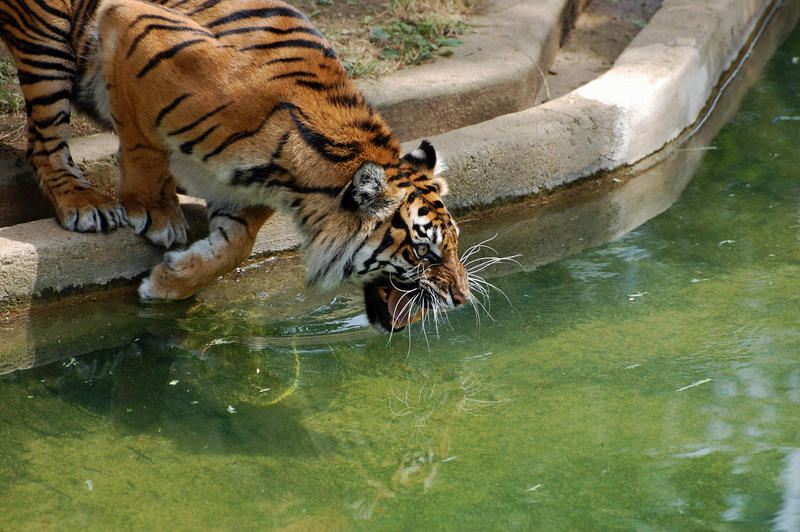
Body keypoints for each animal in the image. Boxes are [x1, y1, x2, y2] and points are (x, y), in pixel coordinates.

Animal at [0, 0, 472, 332]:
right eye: (421, 250)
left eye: (453, 243)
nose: (462, 299)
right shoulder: (131, 23)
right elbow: (141, 142)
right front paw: (153, 210)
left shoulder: (242, 190)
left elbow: (233, 249)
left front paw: (169, 281)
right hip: (46, 44)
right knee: (43, 141)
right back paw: (83, 202)